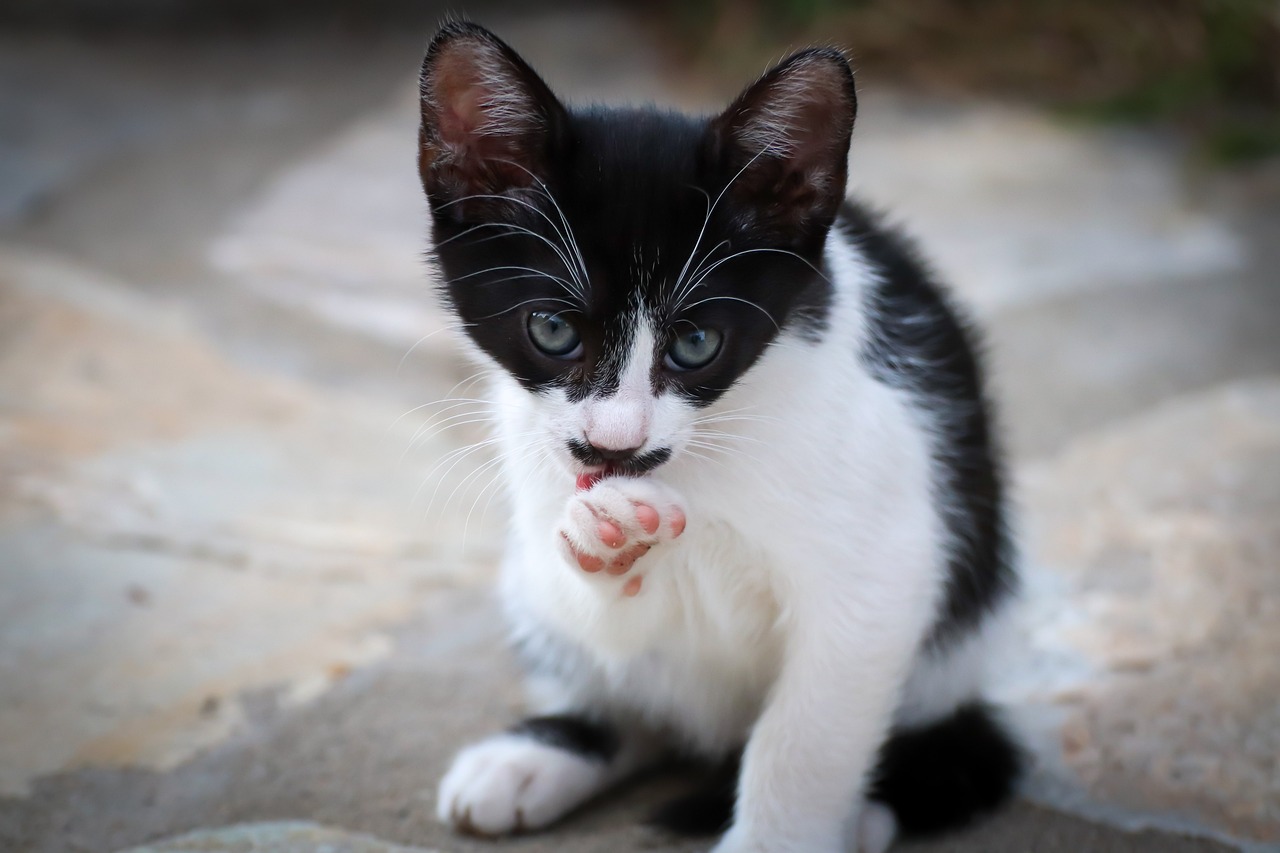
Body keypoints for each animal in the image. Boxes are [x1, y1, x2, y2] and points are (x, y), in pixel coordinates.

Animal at [419, 19, 1018, 850]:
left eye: (697, 343)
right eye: (551, 331)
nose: (613, 442)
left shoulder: (885, 559)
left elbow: (807, 732)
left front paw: (779, 833)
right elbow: (622, 629)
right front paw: (608, 540)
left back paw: (864, 815)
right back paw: (537, 754)